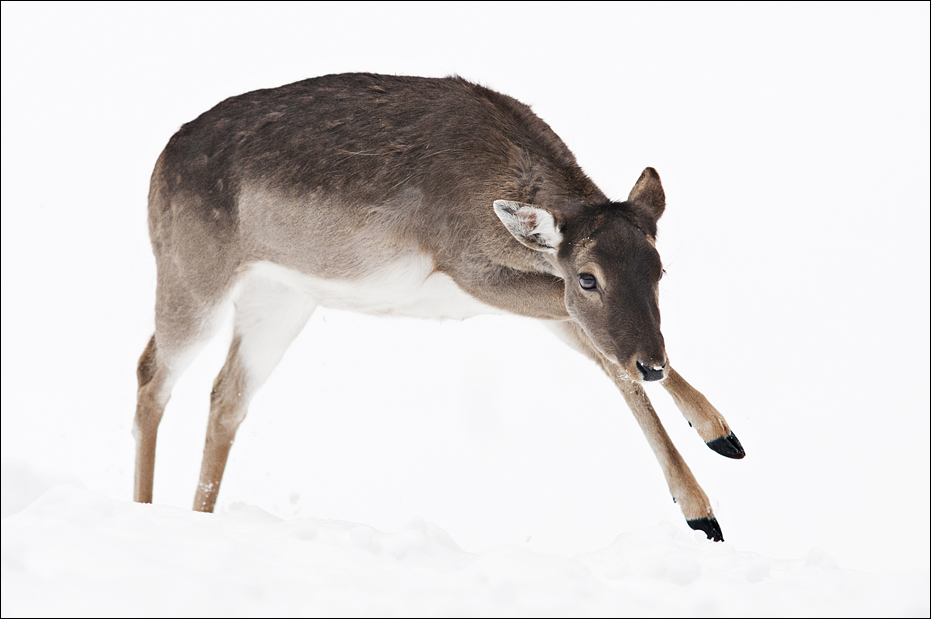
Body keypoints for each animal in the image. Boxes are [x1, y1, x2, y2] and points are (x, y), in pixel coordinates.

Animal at [134, 73, 745, 542]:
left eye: (660, 271)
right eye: (589, 278)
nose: (652, 362)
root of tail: (159, 162)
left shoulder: (540, 299)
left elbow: (603, 356)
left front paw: (722, 438)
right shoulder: (471, 270)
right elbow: (604, 354)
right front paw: (703, 508)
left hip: (279, 299)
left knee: (226, 395)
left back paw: (201, 517)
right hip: (193, 274)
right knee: (151, 371)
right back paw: (141, 510)